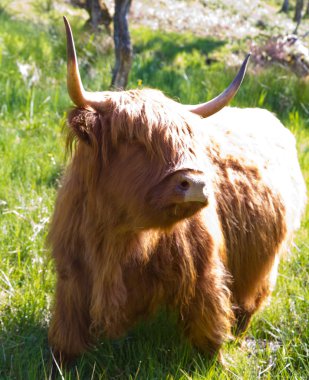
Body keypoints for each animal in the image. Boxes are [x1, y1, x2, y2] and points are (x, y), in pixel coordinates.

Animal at [48, 18, 306, 362]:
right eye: (135, 140)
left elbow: (208, 331)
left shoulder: (205, 273)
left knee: (251, 299)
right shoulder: (71, 271)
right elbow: (67, 335)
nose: (195, 183)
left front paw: (211, 359)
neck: (119, 237)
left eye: (188, 141)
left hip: (264, 263)